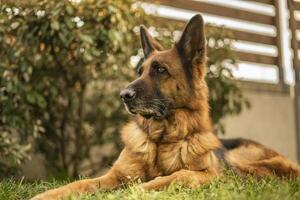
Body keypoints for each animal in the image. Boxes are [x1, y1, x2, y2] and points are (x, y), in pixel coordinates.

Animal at [31, 14, 298, 200]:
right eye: (140, 71)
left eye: (160, 70)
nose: (123, 95)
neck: (161, 141)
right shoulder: (114, 175)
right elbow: (78, 183)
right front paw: (45, 194)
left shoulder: (208, 174)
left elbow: (172, 177)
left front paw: (128, 192)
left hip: (239, 160)